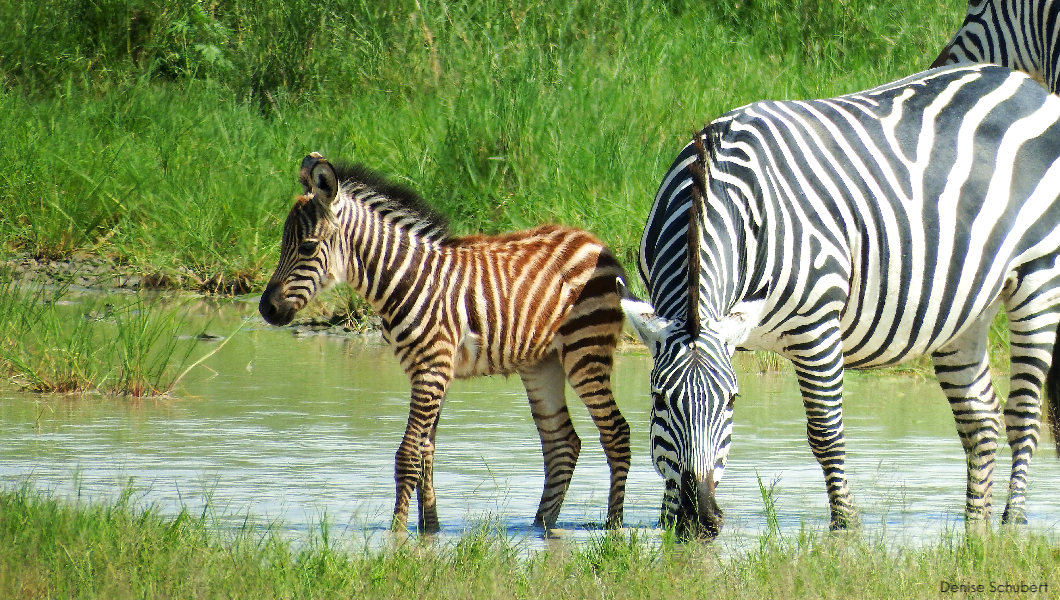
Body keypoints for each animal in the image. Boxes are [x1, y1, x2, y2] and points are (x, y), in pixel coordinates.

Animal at [258, 152, 627, 534]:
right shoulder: (426, 370)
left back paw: (613, 527)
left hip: (586, 350)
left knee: (616, 432)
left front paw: (396, 534)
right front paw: (429, 530)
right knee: (562, 443)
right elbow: (425, 452)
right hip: (542, 362)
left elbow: (407, 455)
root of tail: (594, 240)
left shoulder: (431, 369)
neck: (402, 279)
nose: (266, 309)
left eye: (308, 247)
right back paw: (541, 526)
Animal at [619, 64, 1060, 540]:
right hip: (966, 310)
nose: (700, 517)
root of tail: (1024, 83)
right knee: (980, 418)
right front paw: (666, 522)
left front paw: (845, 527)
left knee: (1023, 413)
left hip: (1039, 276)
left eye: (733, 400)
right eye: (658, 400)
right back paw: (975, 526)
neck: (710, 181)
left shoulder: (815, 324)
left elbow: (825, 433)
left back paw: (1013, 523)